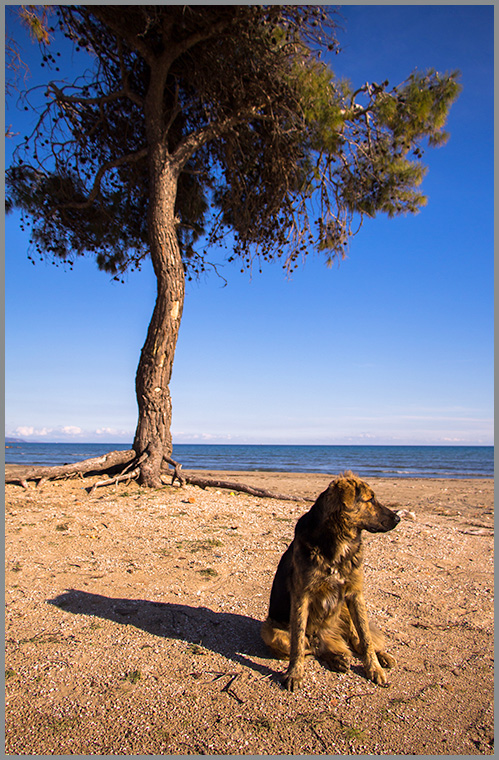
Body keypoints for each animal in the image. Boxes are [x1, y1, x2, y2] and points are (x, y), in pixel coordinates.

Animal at [262, 470, 398, 688]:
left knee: (357, 641)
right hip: (270, 630)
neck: (339, 542)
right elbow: (297, 642)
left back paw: (380, 657)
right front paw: (294, 674)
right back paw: (336, 658)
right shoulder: (302, 596)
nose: (398, 518)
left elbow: (366, 638)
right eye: (370, 499)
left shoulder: (355, 594)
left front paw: (374, 668)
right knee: (311, 647)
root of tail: (328, 636)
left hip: (346, 610)